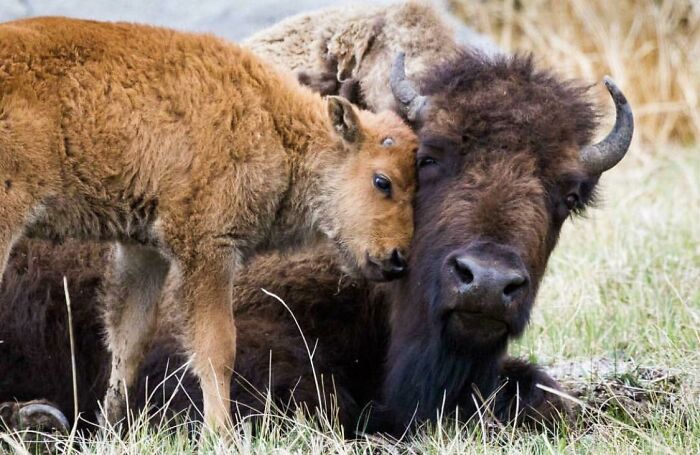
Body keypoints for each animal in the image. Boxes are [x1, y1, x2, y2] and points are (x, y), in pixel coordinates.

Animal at [0, 17, 418, 432]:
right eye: (382, 181)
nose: (397, 260)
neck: (277, 128)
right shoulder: (208, 249)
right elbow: (217, 347)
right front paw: (221, 433)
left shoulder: (144, 250)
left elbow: (129, 341)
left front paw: (111, 429)